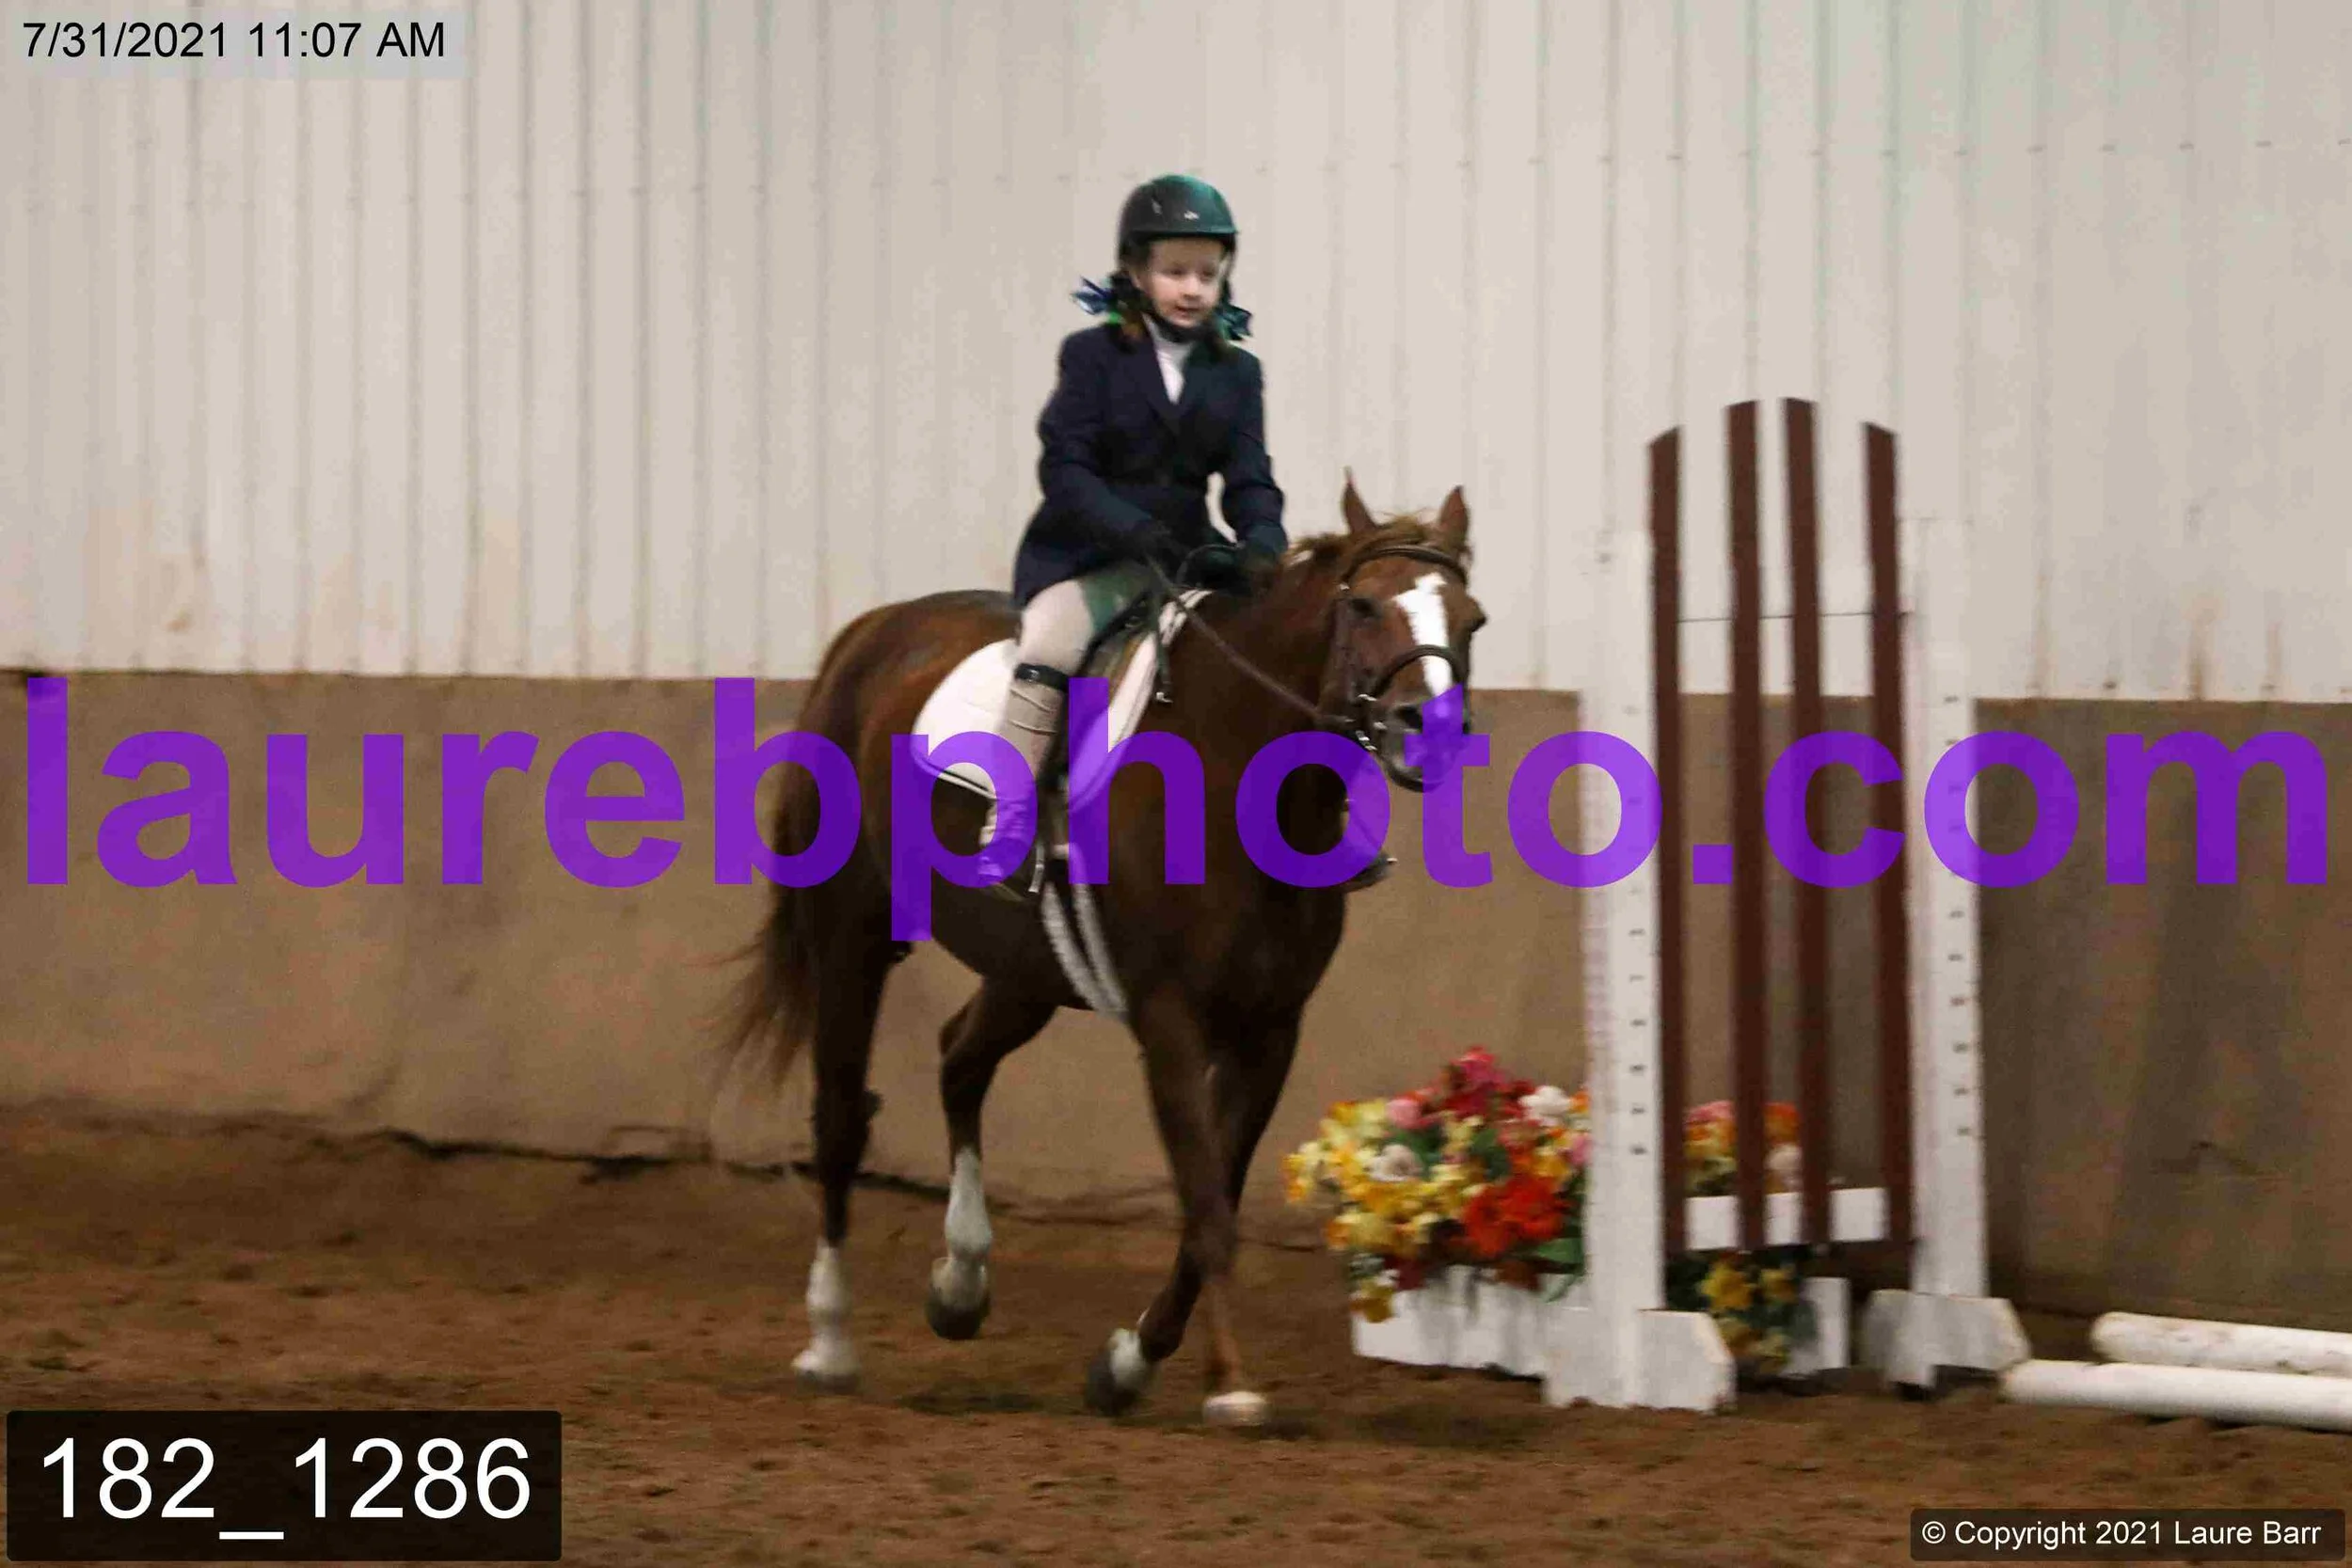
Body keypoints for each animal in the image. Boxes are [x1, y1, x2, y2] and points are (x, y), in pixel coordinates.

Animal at [717, 475, 1485, 1427]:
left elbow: (1215, 1199)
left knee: (959, 1061)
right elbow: (1206, 1204)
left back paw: (961, 1282)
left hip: (1026, 967)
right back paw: (830, 1340)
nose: (1431, 729)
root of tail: (876, 629)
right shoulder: (1169, 1019)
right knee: (839, 1115)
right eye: (1366, 604)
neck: (1236, 770)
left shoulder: (1270, 1030)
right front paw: (1228, 1383)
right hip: (850, 931)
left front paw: (1128, 1361)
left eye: (1473, 619)